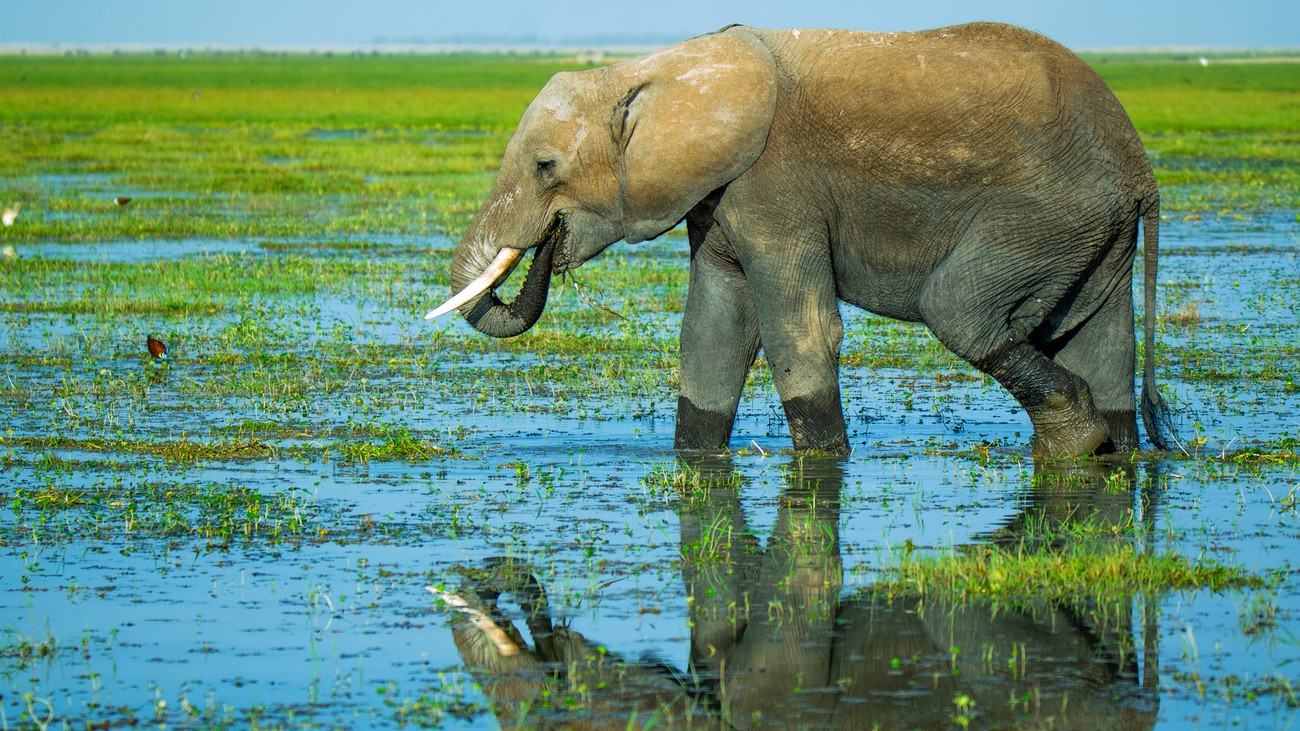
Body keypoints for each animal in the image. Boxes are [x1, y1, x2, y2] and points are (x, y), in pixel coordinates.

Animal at [428, 21, 1180, 455]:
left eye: (545, 166)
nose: (548, 245)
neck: (653, 68)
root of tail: (1142, 169)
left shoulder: (775, 181)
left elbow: (800, 330)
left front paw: (821, 463)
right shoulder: (719, 193)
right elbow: (713, 332)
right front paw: (695, 457)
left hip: (1049, 215)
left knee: (957, 309)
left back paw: (1077, 439)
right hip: (1094, 231)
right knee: (1101, 346)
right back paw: (1107, 446)